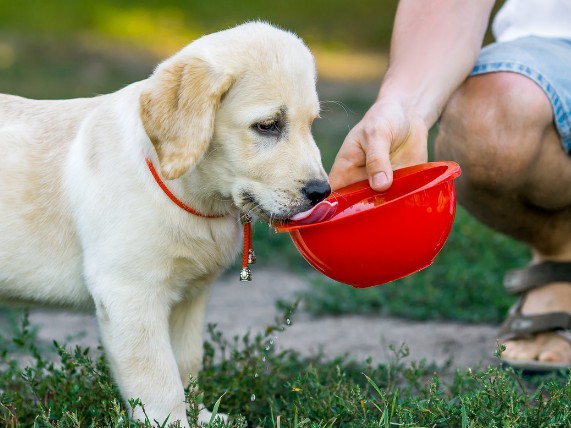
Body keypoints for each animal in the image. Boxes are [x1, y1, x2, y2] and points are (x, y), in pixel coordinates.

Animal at [0, 22, 330, 424]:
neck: (193, 196)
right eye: (268, 126)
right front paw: (172, 422)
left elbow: (186, 364)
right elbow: (158, 379)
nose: (322, 192)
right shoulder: (130, 294)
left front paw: (203, 416)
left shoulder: (190, 297)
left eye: (311, 124)